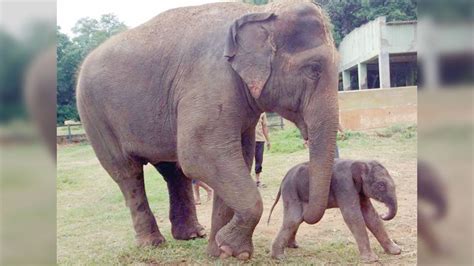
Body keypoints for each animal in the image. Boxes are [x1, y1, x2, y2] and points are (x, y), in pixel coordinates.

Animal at [77, 0, 336, 260]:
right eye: (313, 69)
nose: (294, 242)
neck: (258, 11)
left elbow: (239, 158)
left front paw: (222, 252)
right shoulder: (211, 83)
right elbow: (200, 155)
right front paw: (232, 249)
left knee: (173, 171)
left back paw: (193, 234)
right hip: (95, 117)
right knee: (127, 172)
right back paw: (153, 243)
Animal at [268, 160, 402, 262]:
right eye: (381, 185)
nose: (383, 214)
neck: (359, 162)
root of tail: (284, 178)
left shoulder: (361, 191)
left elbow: (370, 215)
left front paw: (396, 251)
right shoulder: (344, 185)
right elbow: (352, 216)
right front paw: (372, 259)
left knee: (297, 219)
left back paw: (293, 246)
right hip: (291, 191)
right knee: (294, 219)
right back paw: (279, 257)